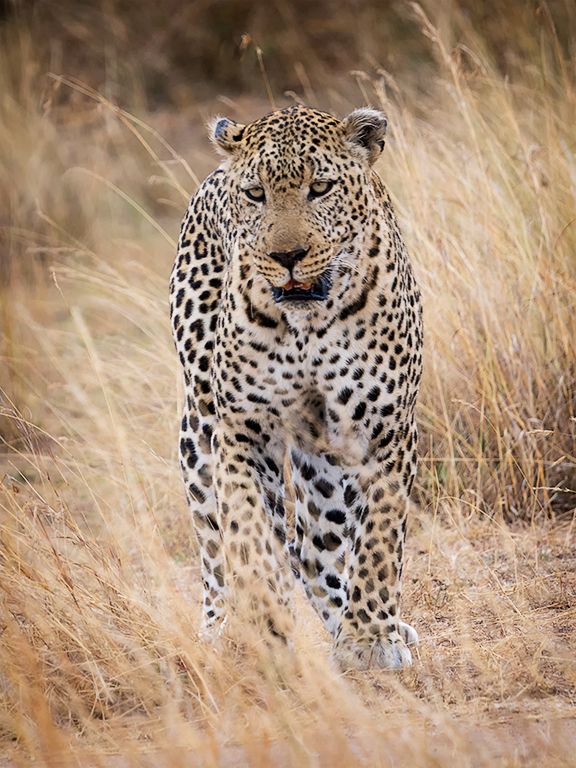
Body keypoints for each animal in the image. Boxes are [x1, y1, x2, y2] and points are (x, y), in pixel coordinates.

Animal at [169, 104, 423, 670]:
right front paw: (265, 616)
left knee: (314, 545)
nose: (288, 255)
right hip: (199, 425)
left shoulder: (385, 431)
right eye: (255, 193)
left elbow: (378, 540)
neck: (308, 324)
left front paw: (369, 639)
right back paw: (221, 628)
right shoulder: (242, 429)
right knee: (218, 547)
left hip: (324, 455)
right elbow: (247, 530)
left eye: (320, 187)